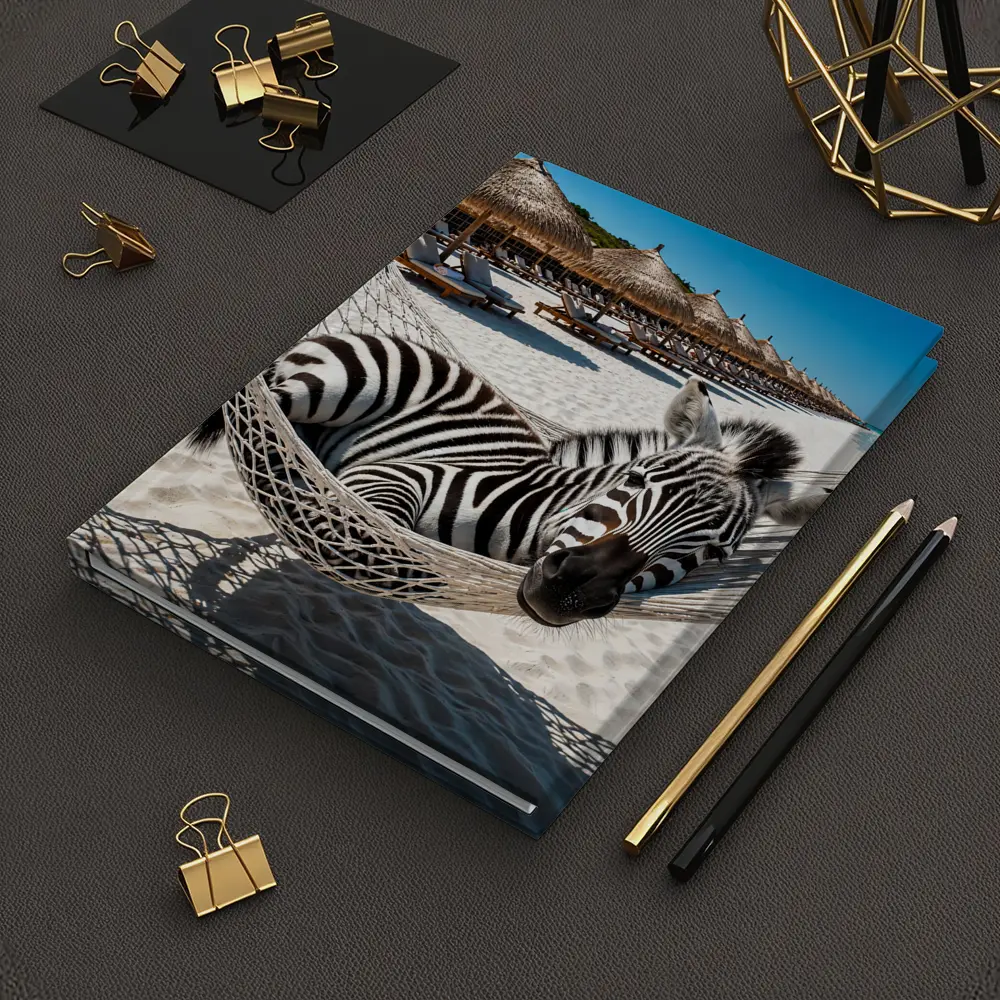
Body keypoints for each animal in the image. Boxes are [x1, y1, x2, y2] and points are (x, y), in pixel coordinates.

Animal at [193, 331, 824, 627]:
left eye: (715, 555)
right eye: (639, 479)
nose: (570, 590)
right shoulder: (399, 473)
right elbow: (376, 533)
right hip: (330, 388)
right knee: (265, 406)